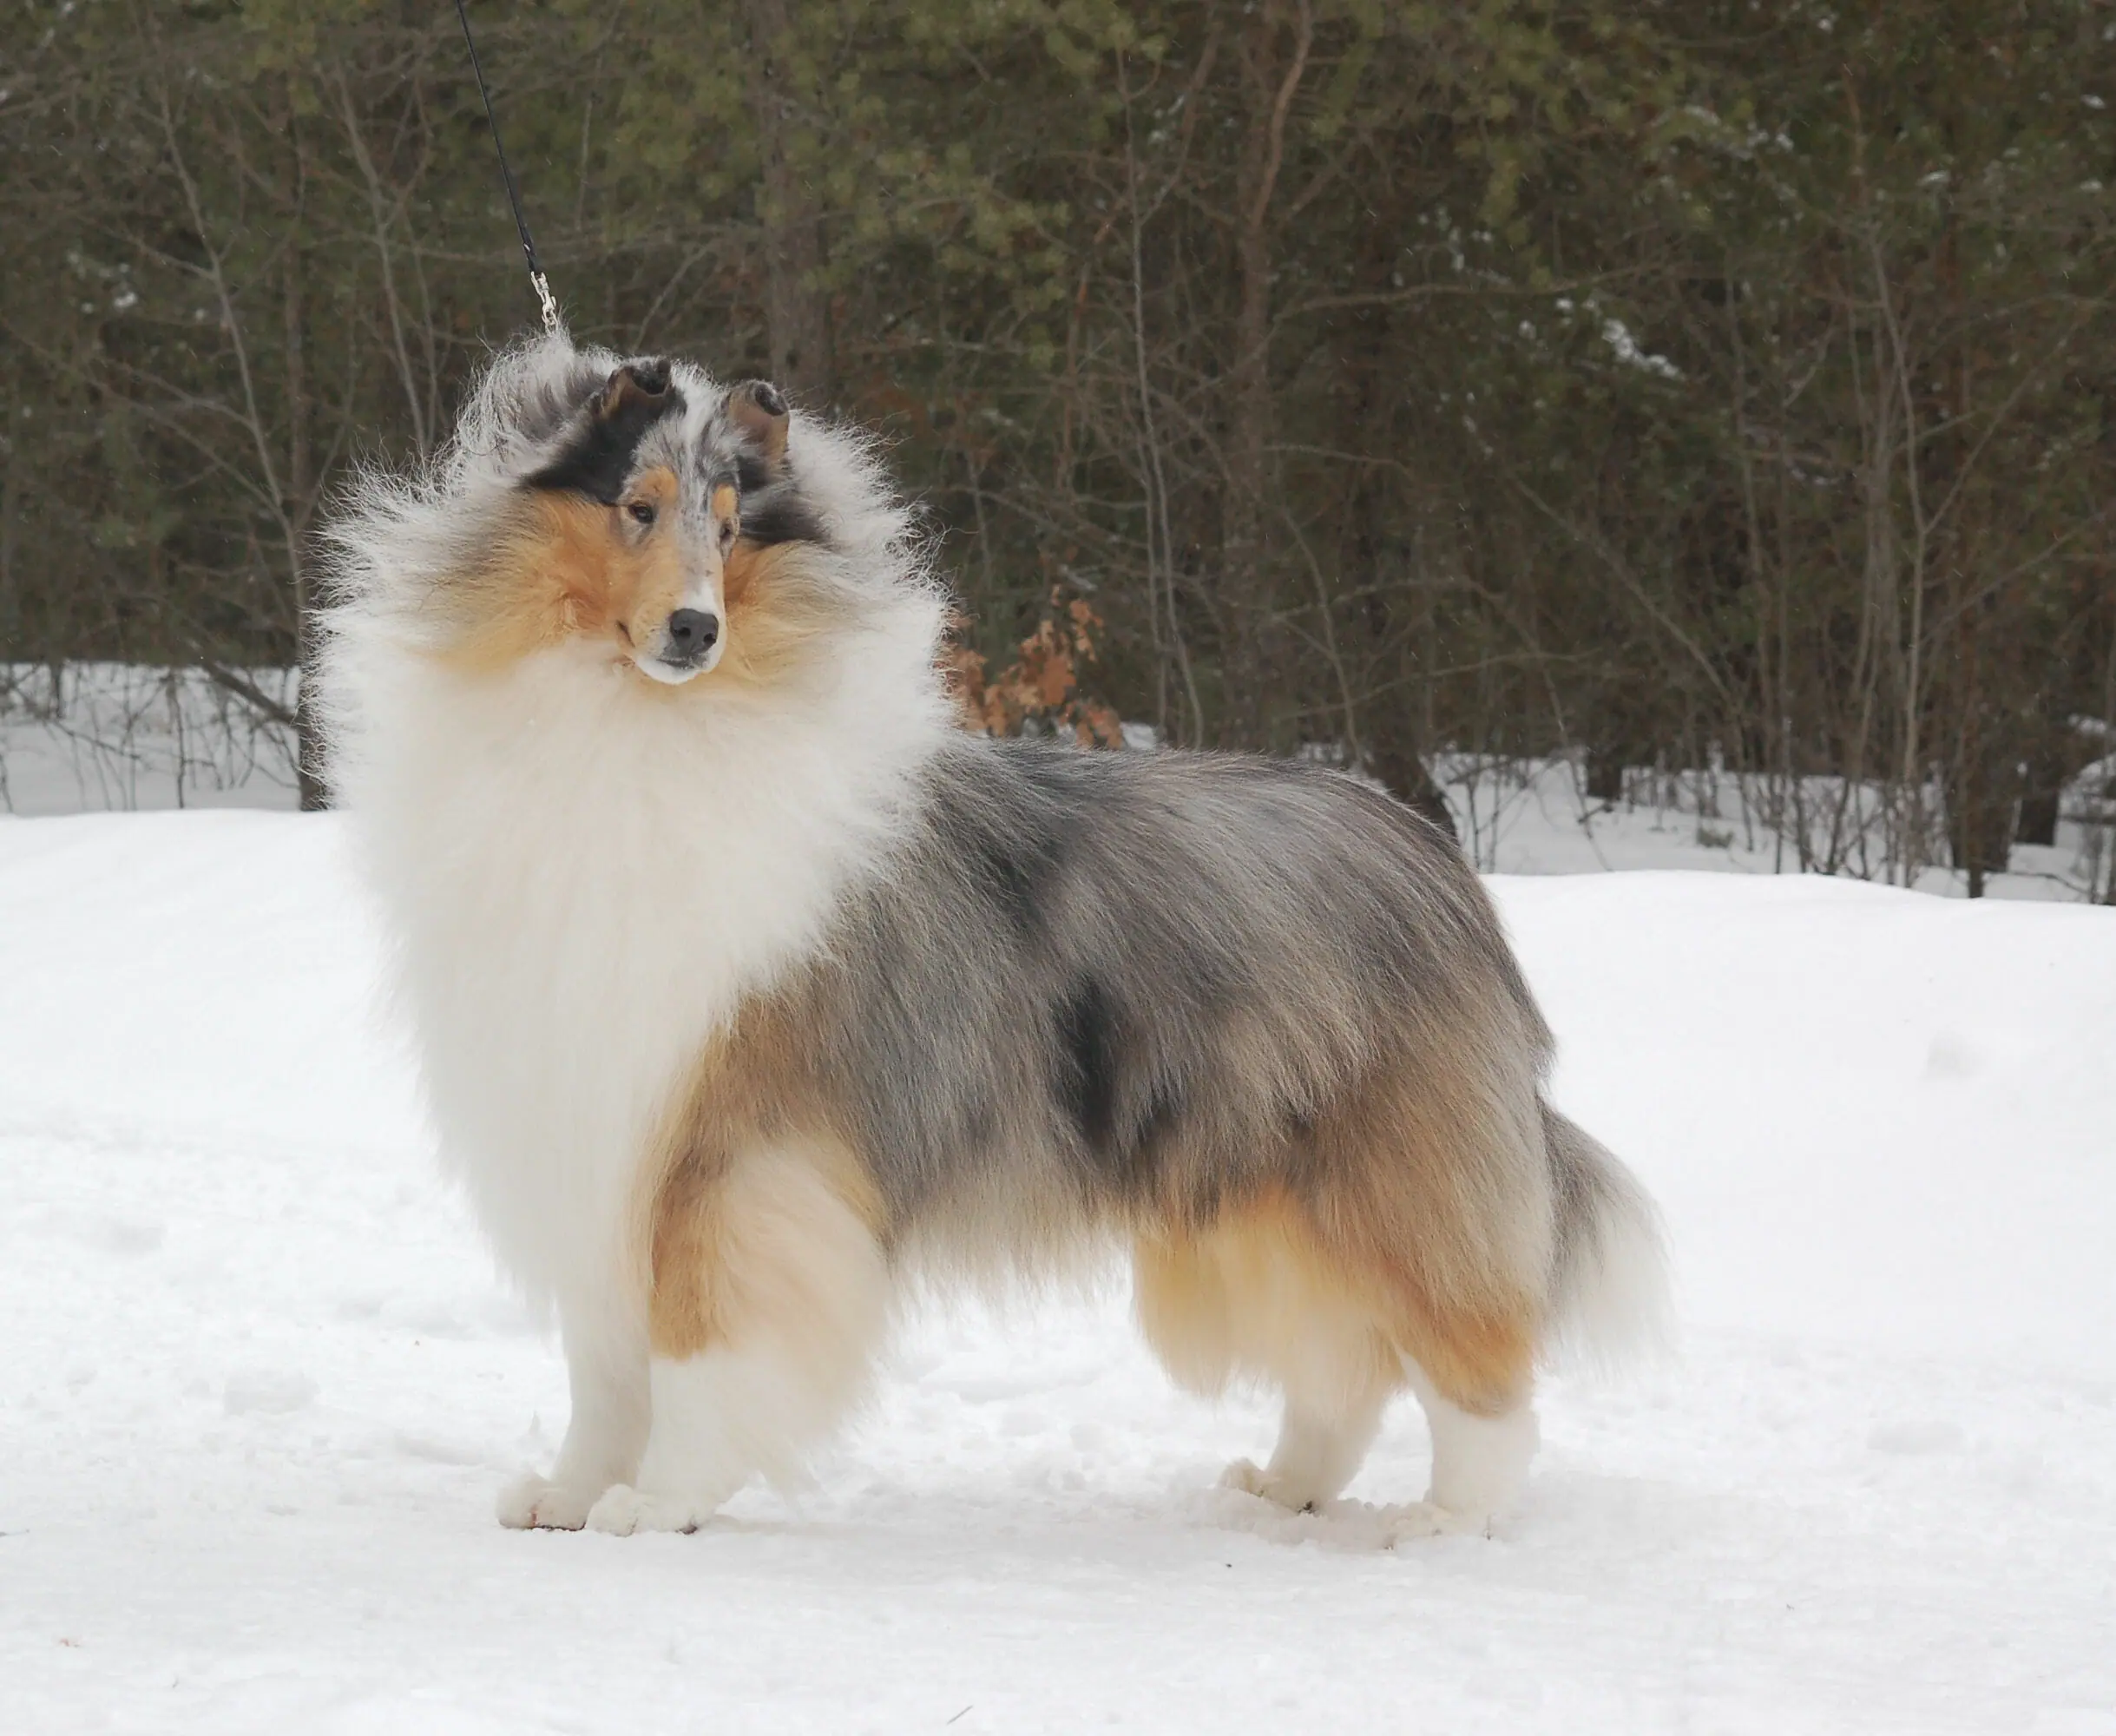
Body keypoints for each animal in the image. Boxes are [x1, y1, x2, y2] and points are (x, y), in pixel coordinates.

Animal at [317, 332, 1667, 1541]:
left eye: (734, 525)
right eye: (636, 509)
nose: (694, 631)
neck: (632, 727)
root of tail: (1435, 864)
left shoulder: (731, 1147)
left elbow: (695, 1351)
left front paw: (660, 1503)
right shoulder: (599, 1134)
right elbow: (605, 1367)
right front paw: (570, 1493)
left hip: (1381, 1183)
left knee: (1474, 1371)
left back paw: (1441, 1521)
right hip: (1246, 1194)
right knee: (1337, 1365)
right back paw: (1281, 1489)